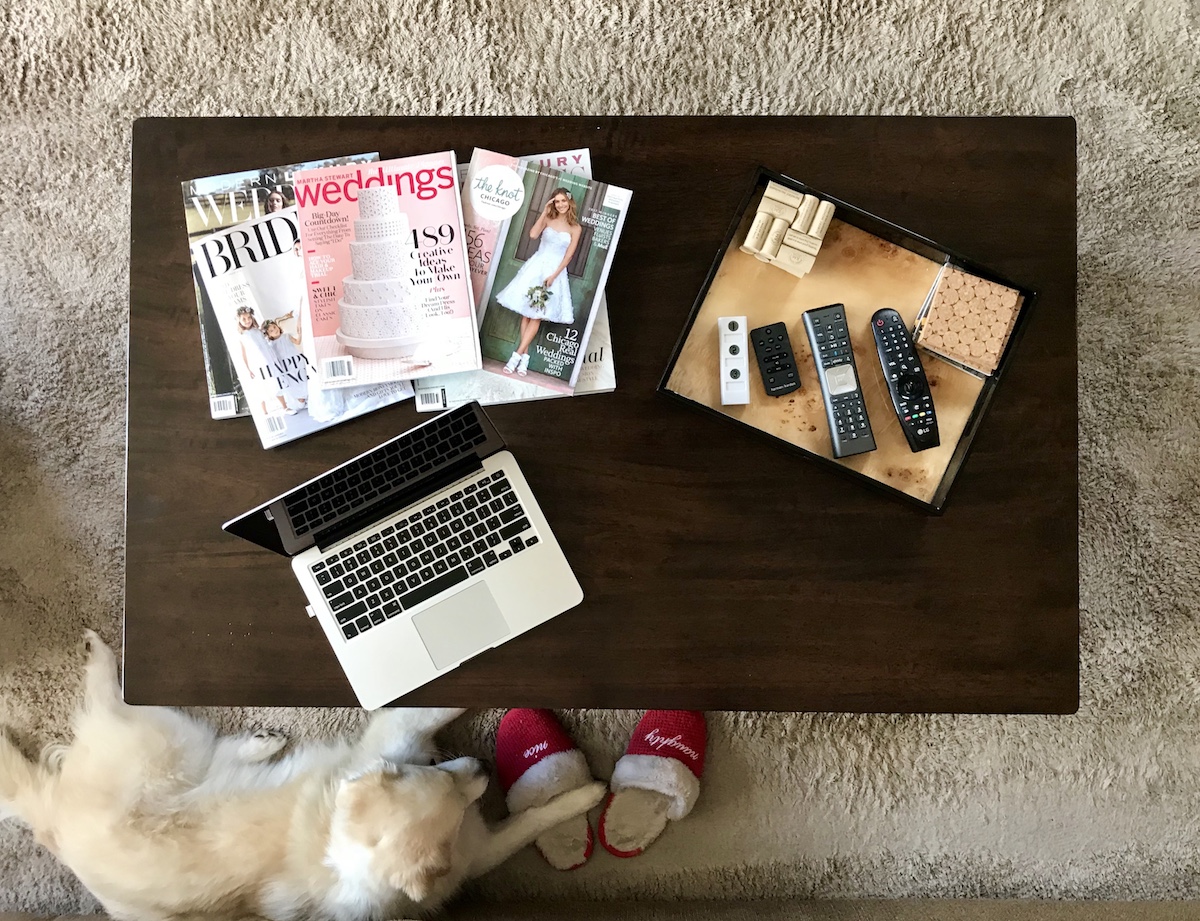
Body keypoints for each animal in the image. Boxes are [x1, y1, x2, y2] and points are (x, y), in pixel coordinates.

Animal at [0, 633, 604, 921]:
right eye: (432, 771)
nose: (483, 767)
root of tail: (53, 827)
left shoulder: (477, 854)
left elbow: (531, 822)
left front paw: (587, 794)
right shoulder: (396, 732)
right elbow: (437, 705)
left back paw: (260, 744)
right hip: (163, 742)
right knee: (109, 701)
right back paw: (101, 654)